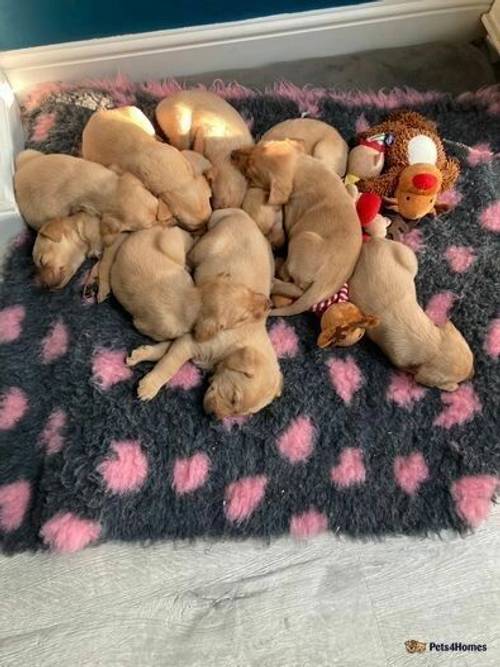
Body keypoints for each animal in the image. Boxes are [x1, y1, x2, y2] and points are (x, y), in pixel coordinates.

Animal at [14, 150, 162, 244]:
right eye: (149, 225)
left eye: (157, 206)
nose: (163, 222)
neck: (110, 190)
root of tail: (17, 178)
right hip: (46, 216)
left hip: (30, 154)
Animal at [232, 140, 362, 318]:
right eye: (260, 145)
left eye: (251, 172)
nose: (232, 154)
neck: (301, 168)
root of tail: (326, 283)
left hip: (303, 239)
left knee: (293, 282)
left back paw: (277, 275)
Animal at [348, 237, 472, 392]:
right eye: (459, 380)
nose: (473, 374)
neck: (432, 343)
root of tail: (375, 241)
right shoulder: (397, 358)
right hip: (409, 258)